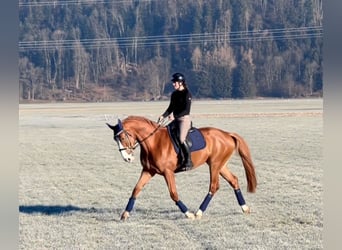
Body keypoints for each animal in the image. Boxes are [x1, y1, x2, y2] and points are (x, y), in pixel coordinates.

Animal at [107, 116, 256, 220]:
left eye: (122, 137)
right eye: (115, 139)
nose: (127, 158)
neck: (153, 142)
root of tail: (227, 134)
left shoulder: (168, 172)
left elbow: (173, 193)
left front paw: (188, 214)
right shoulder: (149, 171)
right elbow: (136, 189)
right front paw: (125, 214)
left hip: (215, 165)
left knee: (214, 186)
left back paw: (198, 213)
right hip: (219, 165)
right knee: (234, 180)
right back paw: (245, 208)